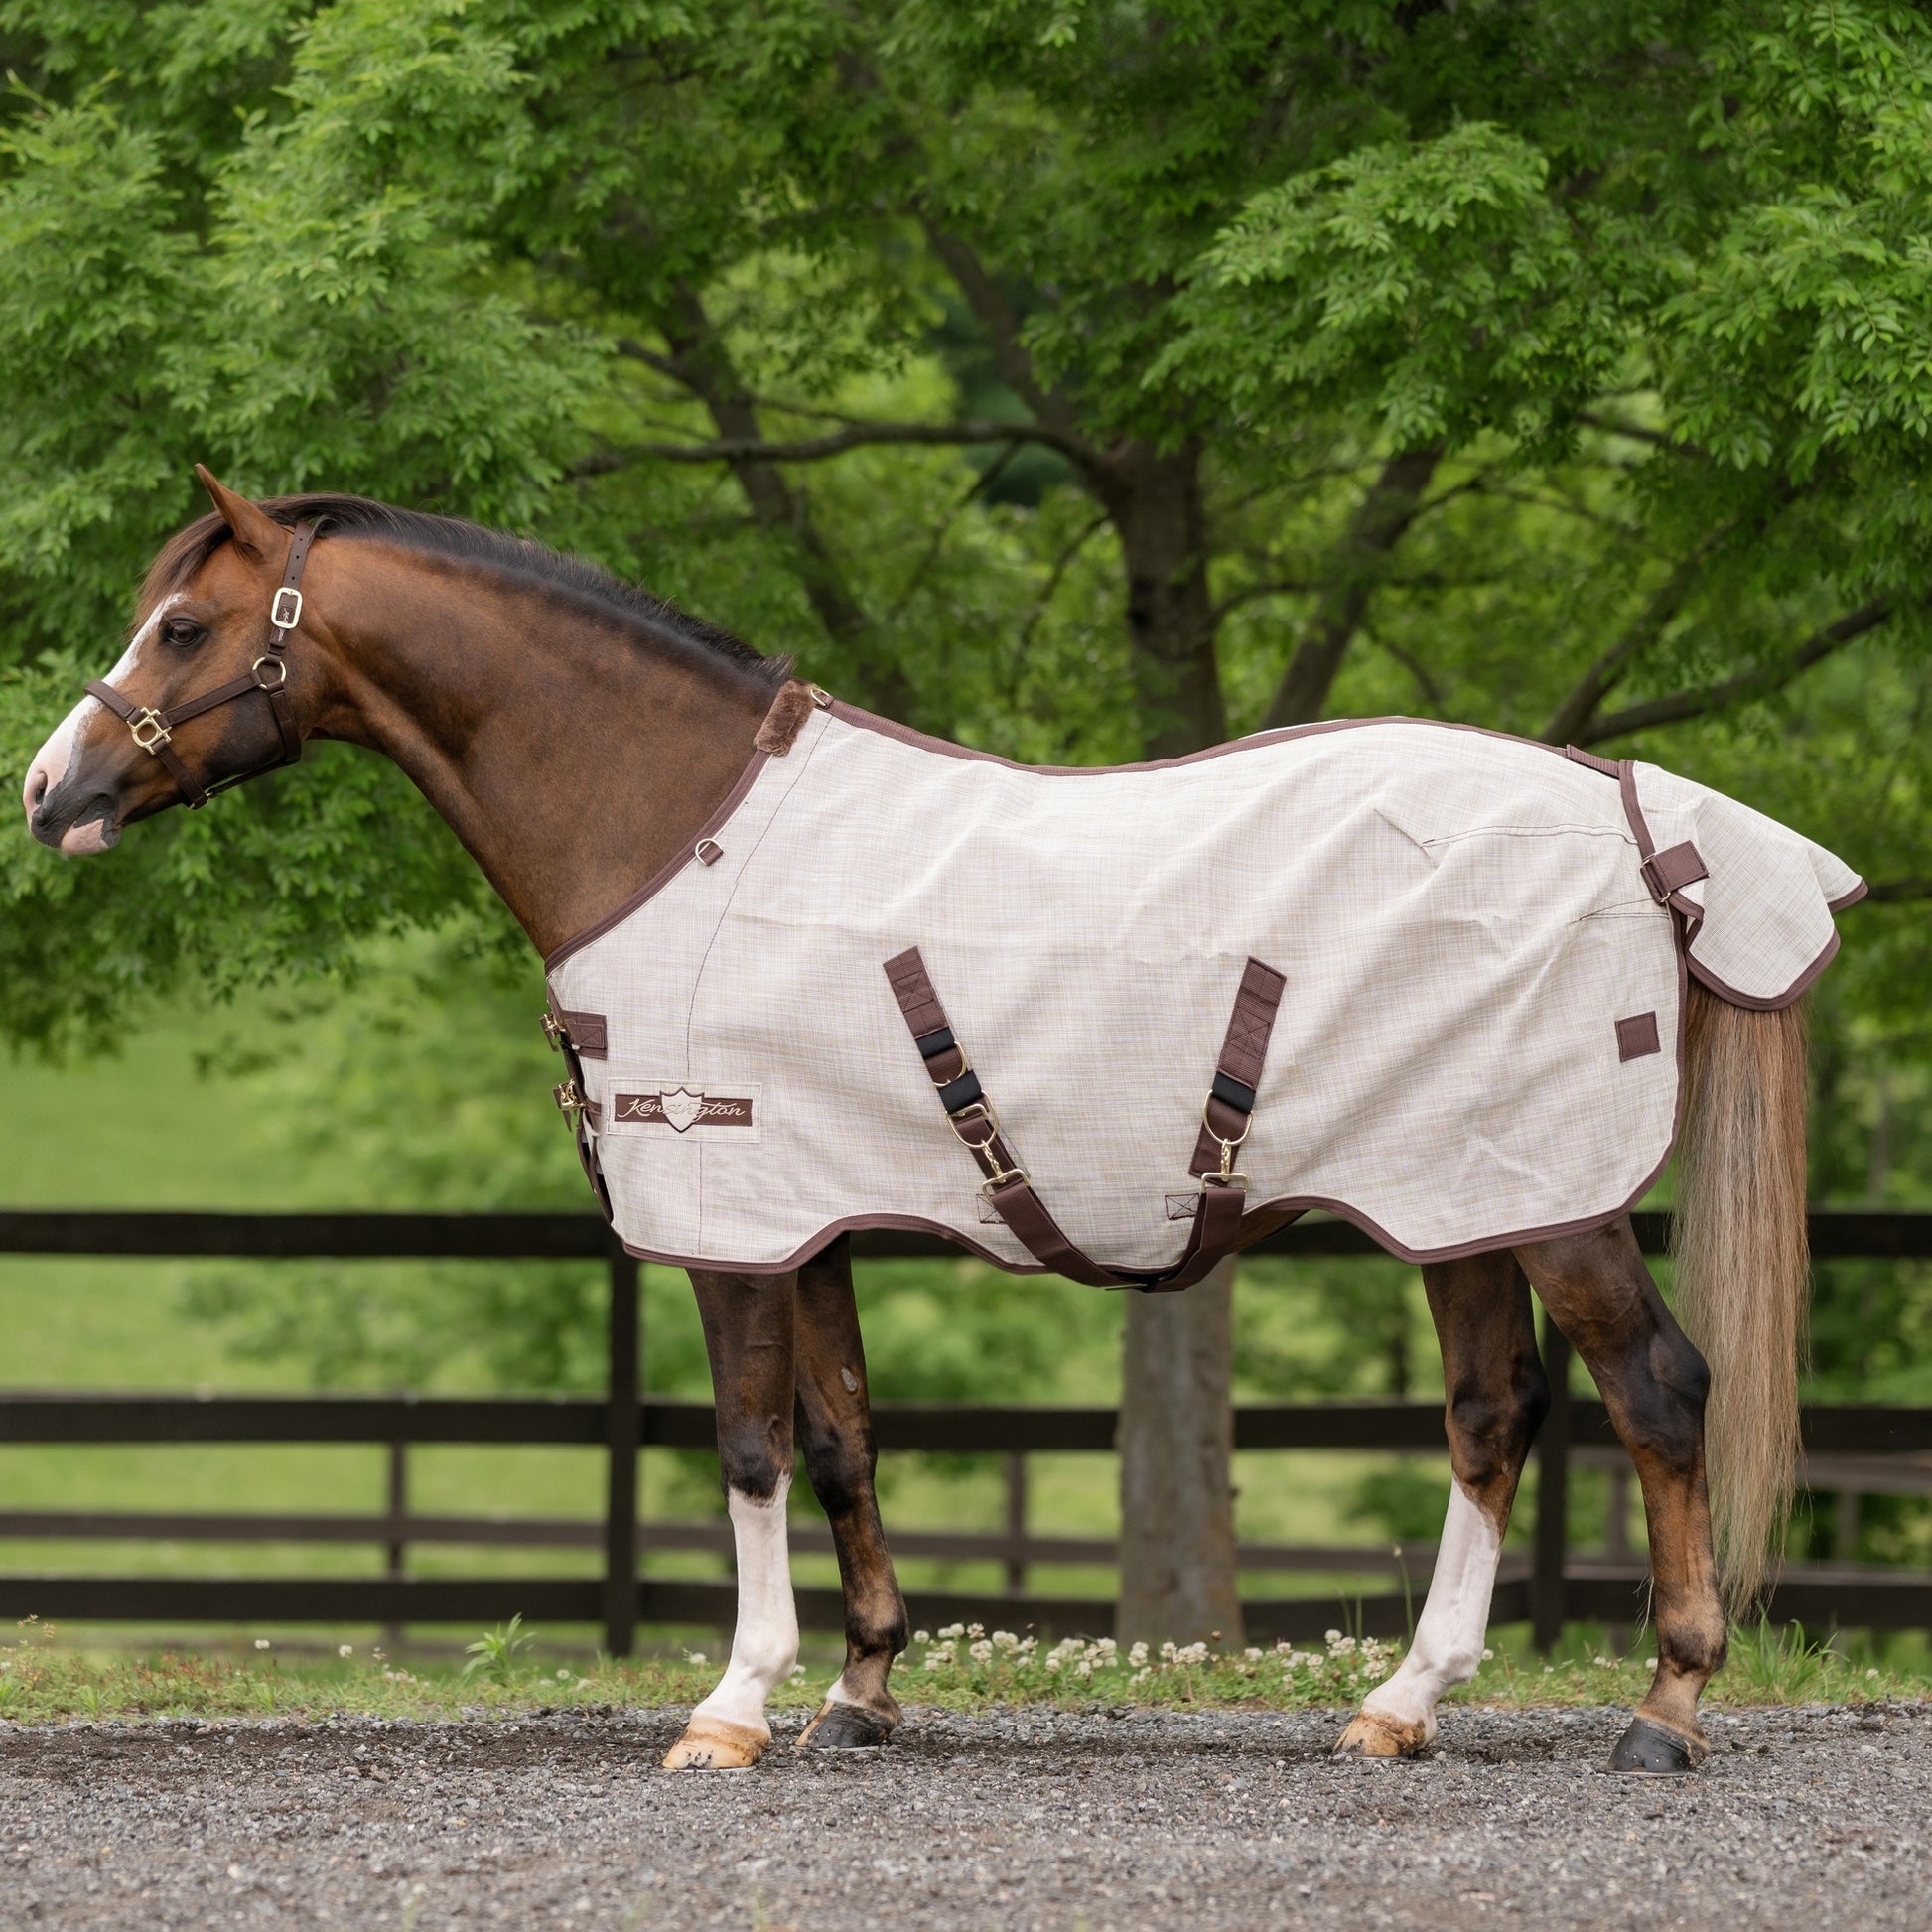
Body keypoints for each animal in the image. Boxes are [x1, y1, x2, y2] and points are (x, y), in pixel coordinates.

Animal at [22, 469, 1847, 1777]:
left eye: (181, 624)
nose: (51, 793)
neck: (668, 821)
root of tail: (1631, 809)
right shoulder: (810, 1219)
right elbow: (841, 1440)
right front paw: (861, 1694)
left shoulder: (729, 1217)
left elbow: (748, 1445)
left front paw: (733, 1707)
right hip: (1460, 1196)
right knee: (1491, 1414)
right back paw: (1400, 1703)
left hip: (1555, 1201)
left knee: (1658, 1393)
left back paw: (1664, 1712)